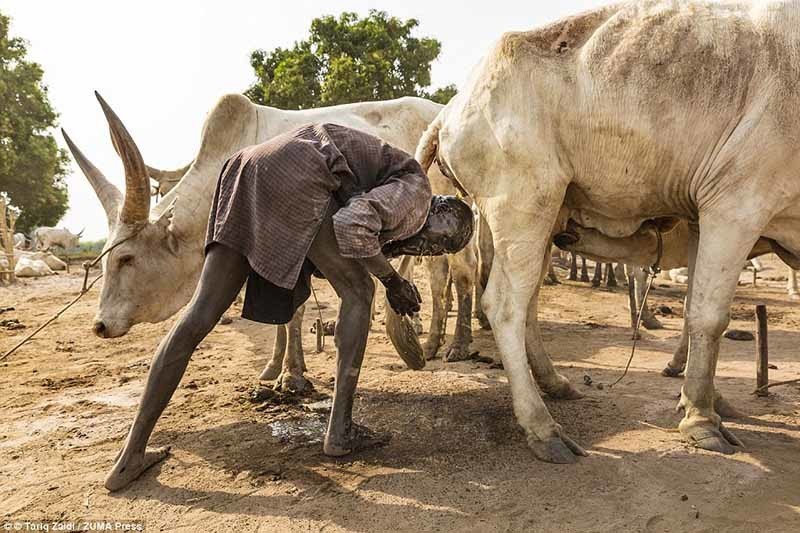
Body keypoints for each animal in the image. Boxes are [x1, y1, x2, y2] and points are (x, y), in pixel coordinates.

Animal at [416, 0, 800, 460]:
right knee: (506, 305)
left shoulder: (700, 219)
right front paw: (702, 420)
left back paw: (555, 384)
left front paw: (705, 400)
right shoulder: (736, 204)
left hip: (546, 217)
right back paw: (542, 427)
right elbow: (709, 317)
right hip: (523, 202)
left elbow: (694, 310)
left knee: (528, 303)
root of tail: (451, 108)